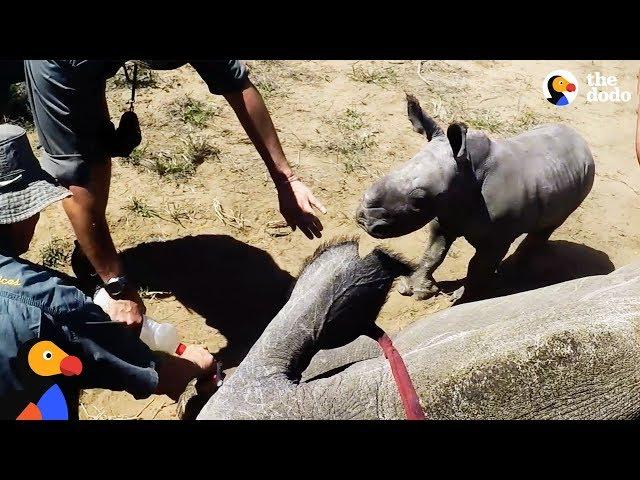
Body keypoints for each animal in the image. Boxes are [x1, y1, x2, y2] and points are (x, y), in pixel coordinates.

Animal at [356, 95, 596, 302]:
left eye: (419, 199)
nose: (364, 220)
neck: (466, 174)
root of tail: (583, 143)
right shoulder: (444, 212)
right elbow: (433, 252)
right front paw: (414, 289)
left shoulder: (496, 239)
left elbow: (477, 266)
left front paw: (461, 298)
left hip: (586, 178)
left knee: (549, 225)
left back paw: (510, 273)